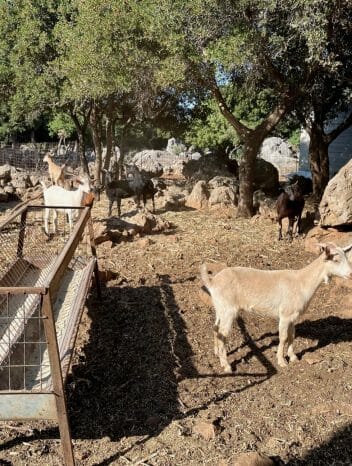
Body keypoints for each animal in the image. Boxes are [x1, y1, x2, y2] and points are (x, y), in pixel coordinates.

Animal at [201, 242, 352, 374]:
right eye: (336, 260)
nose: (350, 274)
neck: (302, 282)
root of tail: (213, 281)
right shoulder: (285, 314)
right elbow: (283, 337)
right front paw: (282, 361)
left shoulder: (293, 316)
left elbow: (292, 335)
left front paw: (293, 357)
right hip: (228, 309)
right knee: (222, 334)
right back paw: (226, 365)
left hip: (220, 307)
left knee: (215, 328)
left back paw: (217, 353)